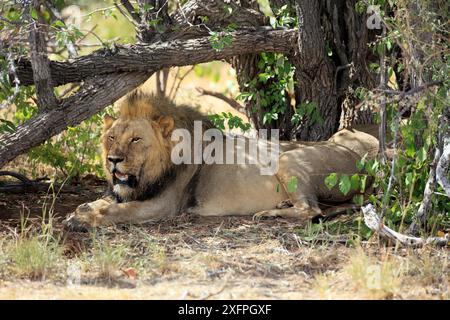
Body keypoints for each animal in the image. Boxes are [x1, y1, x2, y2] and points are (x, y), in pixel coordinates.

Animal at [64, 90, 380, 230]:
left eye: (136, 140)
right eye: (112, 138)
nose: (113, 160)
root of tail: (360, 161)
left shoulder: (163, 205)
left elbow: (115, 212)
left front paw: (82, 219)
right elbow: (99, 202)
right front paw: (79, 212)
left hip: (289, 158)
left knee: (311, 210)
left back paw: (269, 213)